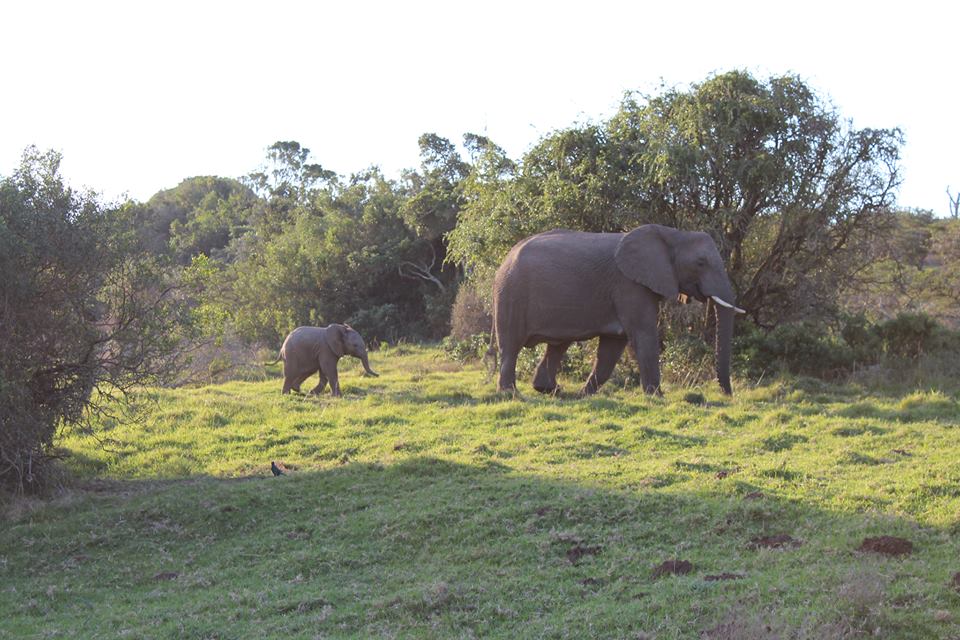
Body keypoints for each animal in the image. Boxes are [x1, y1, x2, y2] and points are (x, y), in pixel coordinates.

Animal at [492, 225, 748, 396]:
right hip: (510, 294)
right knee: (511, 346)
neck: (672, 233)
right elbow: (644, 335)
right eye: (701, 263)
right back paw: (511, 394)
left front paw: (584, 395)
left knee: (558, 345)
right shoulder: (629, 284)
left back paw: (551, 390)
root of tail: (507, 256)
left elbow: (613, 347)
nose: (727, 395)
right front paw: (657, 397)